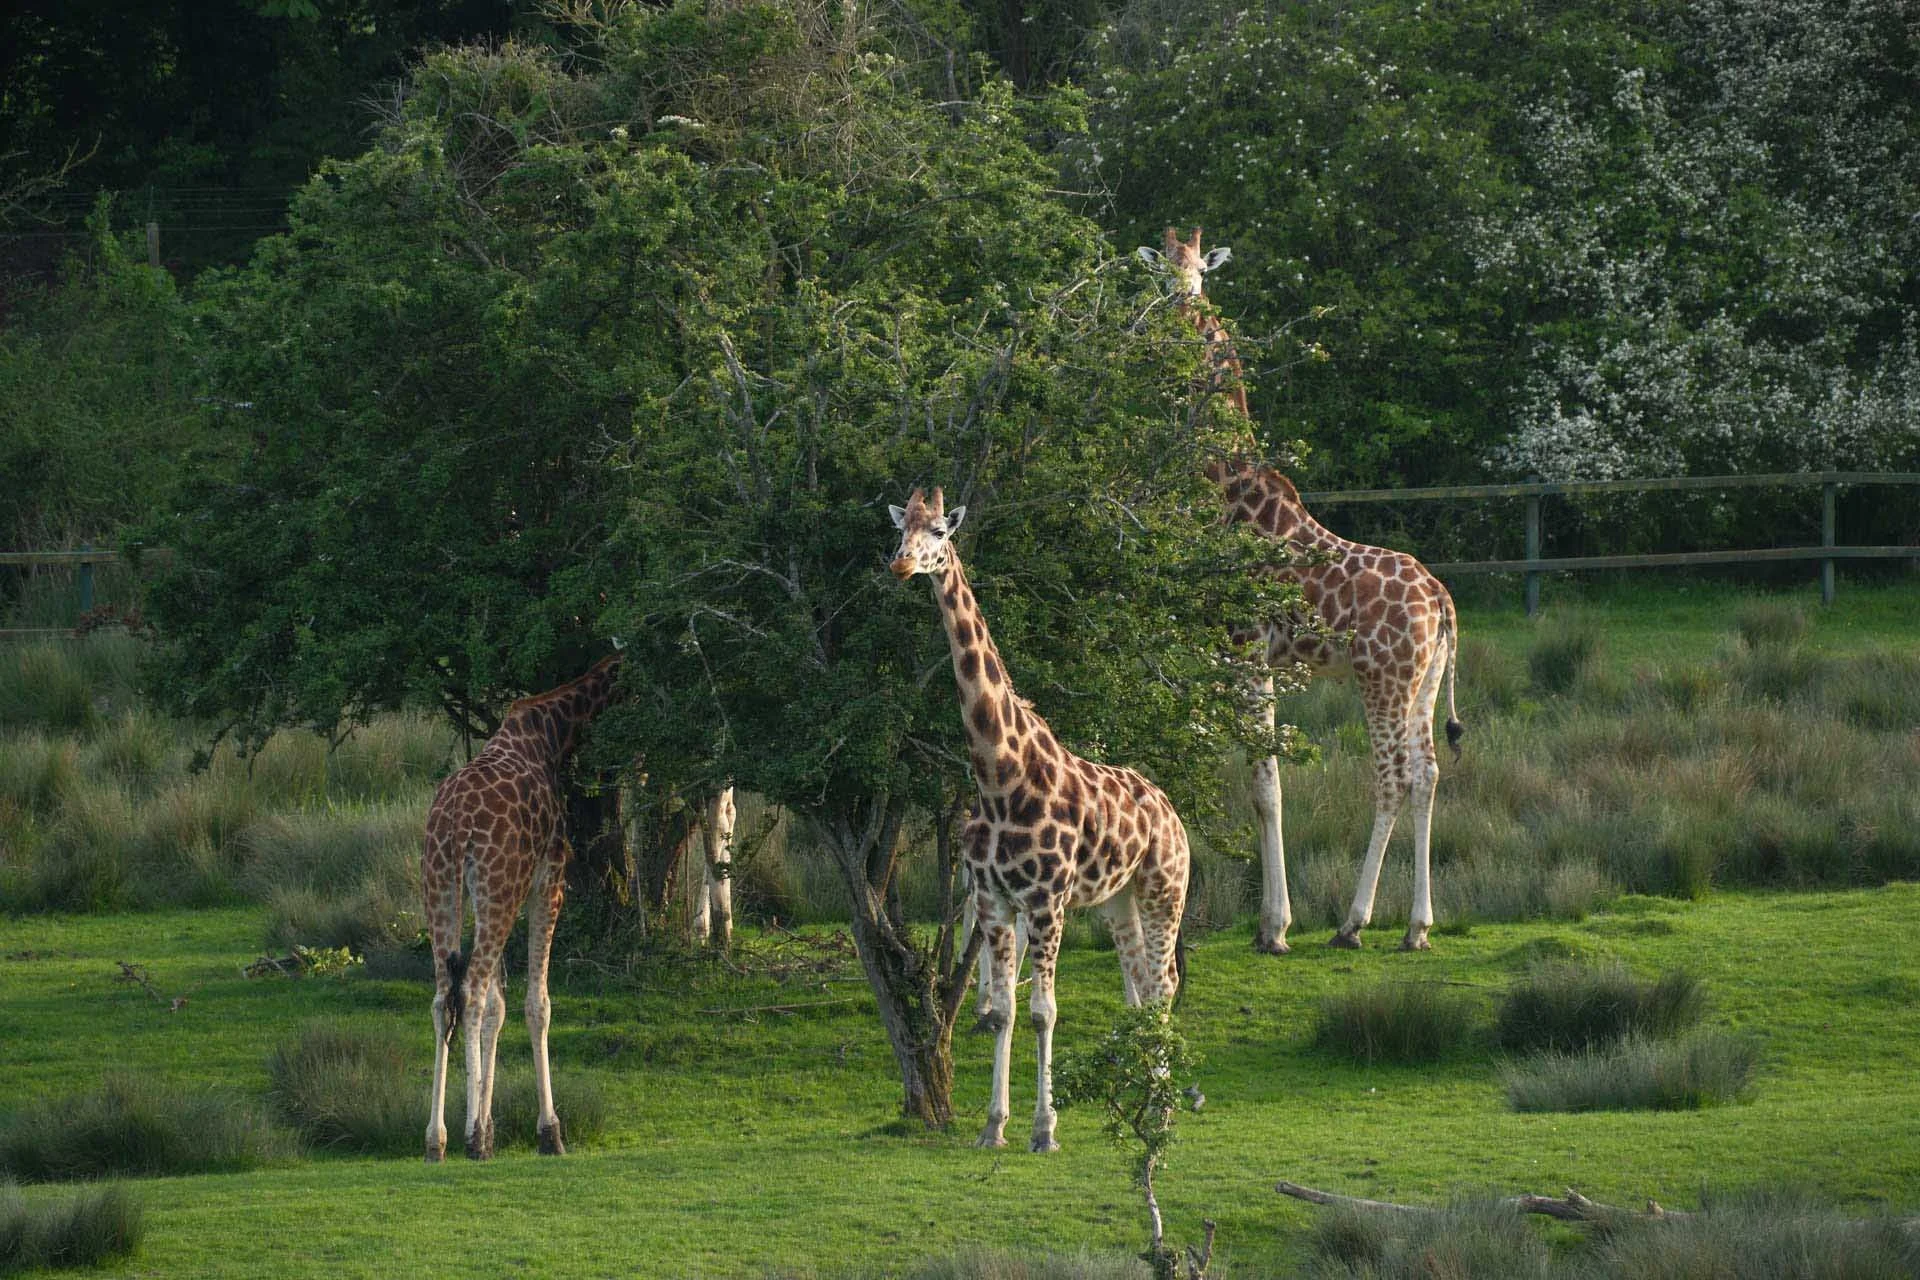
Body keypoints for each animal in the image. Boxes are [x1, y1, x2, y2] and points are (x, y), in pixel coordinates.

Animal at [421, 651, 623, 1162]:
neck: (551, 734)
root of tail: (454, 825)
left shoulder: (502, 891)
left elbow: (500, 1007)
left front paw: (490, 1123)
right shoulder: (547, 880)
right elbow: (537, 1003)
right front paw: (548, 1132)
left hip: (442, 886)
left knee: (444, 997)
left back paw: (437, 1140)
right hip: (498, 889)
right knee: (470, 992)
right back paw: (471, 1140)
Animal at [888, 486, 1190, 1152]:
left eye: (941, 532)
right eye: (900, 529)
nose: (901, 564)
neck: (1000, 775)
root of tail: (1172, 812)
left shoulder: (1047, 901)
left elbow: (1043, 1011)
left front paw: (1044, 1129)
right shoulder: (995, 900)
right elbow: (1003, 1010)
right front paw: (993, 1127)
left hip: (1165, 888)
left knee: (1163, 985)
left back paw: (1161, 1112)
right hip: (1118, 900)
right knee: (1140, 986)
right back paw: (1144, 1099)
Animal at [1145, 225, 1463, 953]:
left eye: (1197, 276)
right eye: (1161, 275)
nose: (1181, 315)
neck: (1228, 491)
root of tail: (1442, 602)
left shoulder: (1243, 650)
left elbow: (1264, 785)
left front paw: (1274, 927)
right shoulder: (1237, 658)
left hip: (1382, 678)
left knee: (1393, 778)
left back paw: (1353, 922)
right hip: (1424, 681)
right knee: (1430, 773)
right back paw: (1417, 926)